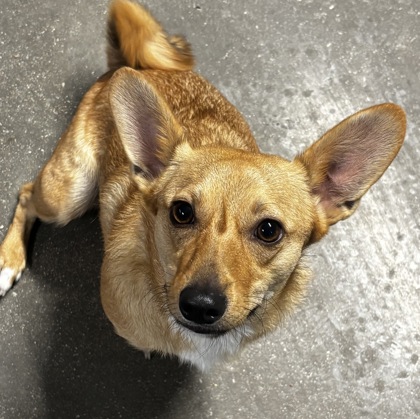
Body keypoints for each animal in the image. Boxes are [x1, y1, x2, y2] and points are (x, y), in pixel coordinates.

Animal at [0, 0, 406, 370]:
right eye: (181, 212)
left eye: (269, 230)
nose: (199, 305)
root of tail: (141, 65)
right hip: (66, 194)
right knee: (26, 194)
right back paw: (9, 260)